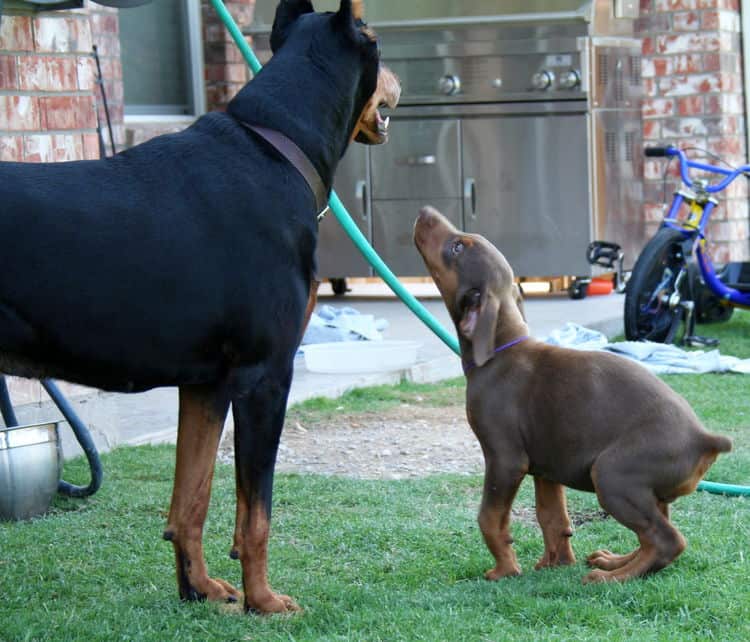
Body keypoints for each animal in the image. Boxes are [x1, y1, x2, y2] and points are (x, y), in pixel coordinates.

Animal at [0, 0, 400, 608]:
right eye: (377, 38)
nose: (401, 84)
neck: (278, 148)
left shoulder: (206, 383)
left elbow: (191, 499)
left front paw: (200, 588)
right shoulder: (265, 375)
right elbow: (256, 511)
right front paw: (264, 601)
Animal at [414, 208, 732, 584]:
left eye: (458, 247)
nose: (425, 213)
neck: (500, 350)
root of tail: (704, 438)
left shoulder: (505, 459)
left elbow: (489, 517)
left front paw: (504, 569)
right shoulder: (546, 467)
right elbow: (552, 517)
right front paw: (554, 563)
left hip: (612, 474)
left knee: (667, 540)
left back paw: (611, 577)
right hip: (646, 489)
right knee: (653, 534)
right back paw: (615, 561)